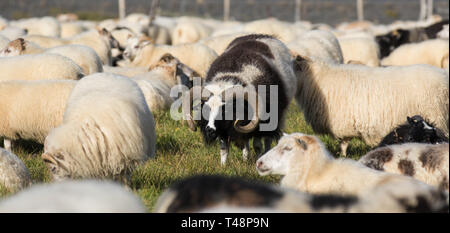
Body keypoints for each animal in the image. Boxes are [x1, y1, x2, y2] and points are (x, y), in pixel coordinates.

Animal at [179, 34, 298, 166]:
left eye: (225, 111)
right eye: (206, 109)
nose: (210, 130)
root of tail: (260, 35)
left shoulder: (259, 123)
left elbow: (257, 145)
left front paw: (258, 161)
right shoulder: (223, 128)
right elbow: (224, 149)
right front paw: (223, 166)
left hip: (276, 118)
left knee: (267, 140)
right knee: (245, 143)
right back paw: (245, 157)